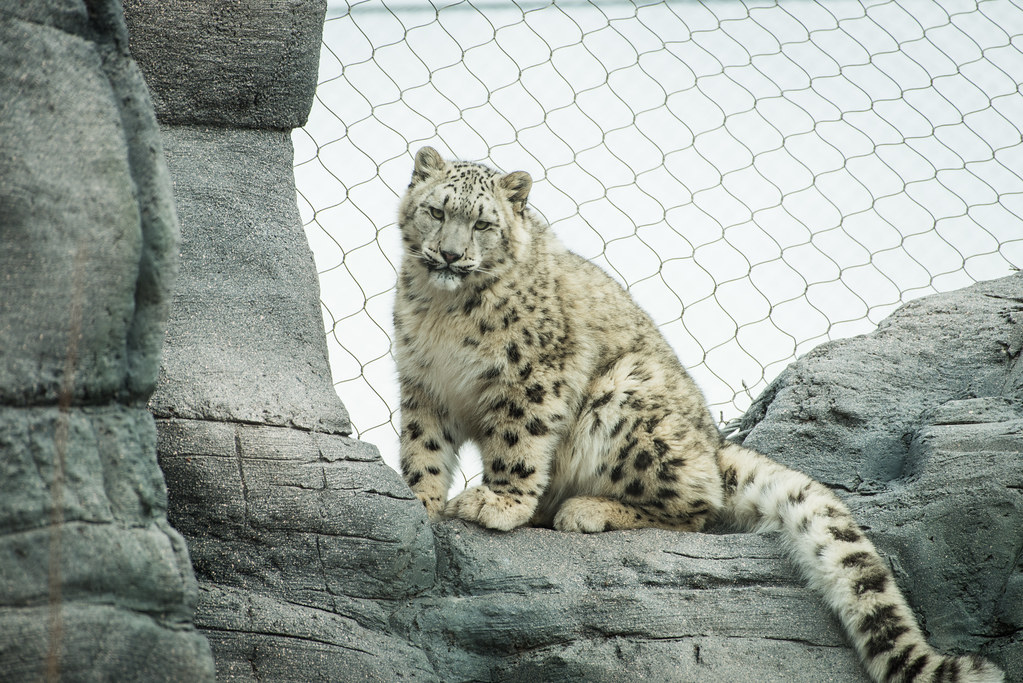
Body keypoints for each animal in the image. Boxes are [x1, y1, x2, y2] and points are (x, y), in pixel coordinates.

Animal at [392, 146, 1004, 683]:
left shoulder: (537, 373)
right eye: (437, 211)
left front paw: (498, 503)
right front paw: (420, 501)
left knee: (698, 505)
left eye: (483, 224)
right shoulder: (422, 382)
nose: (449, 255)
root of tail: (713, 441)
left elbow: (518, 441)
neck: (446, 313)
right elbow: (423, 447)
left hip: (628, 397)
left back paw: (586, 510)